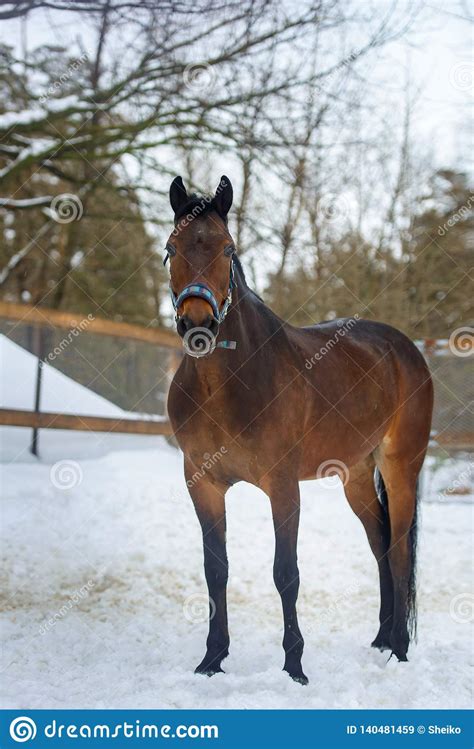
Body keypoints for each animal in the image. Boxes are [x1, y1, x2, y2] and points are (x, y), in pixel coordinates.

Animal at [166, 175, 434, 684]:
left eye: (228, 249)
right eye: (171, 248)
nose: (198, 324)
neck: (225, 386)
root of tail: (406, 351)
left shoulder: (283, 486)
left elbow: (285, 573)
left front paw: (294, 666)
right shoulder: (201, 483)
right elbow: (216, 570)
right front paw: (212, 659)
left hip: (400, 469)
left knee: (399, 551)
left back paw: (401, 648)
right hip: (355, 476)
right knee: (380, 546)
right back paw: (381, 639)